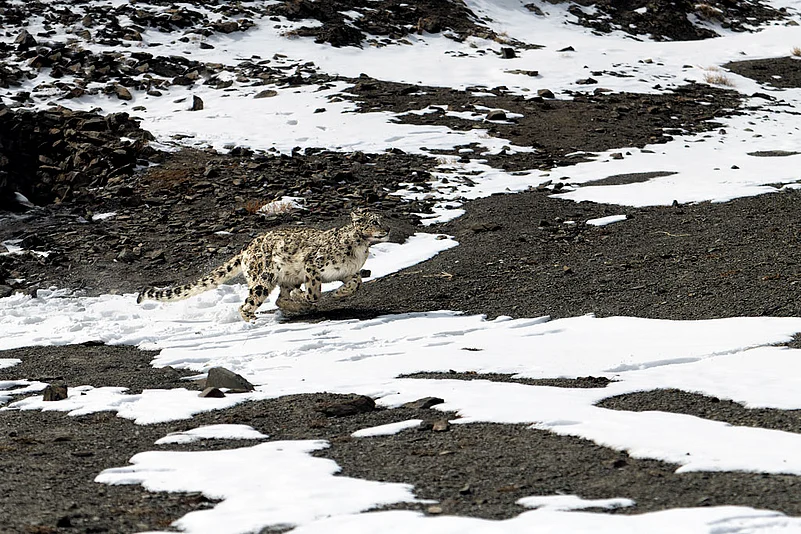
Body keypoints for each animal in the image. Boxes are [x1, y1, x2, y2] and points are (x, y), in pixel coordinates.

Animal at [137, 208, 390, 321]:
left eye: (382, 220)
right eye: (374, 222)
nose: (387, 229)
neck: (360, 249)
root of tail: (247, 247)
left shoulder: (349, 272)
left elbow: (356, 282)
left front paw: (339, 293)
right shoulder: (312, 265)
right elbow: (314, 291)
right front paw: (311, 297)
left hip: (285, 277)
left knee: (280, 297)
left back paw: (296, 307)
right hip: (264, 277)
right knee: (247, 303)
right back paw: (255, 319)